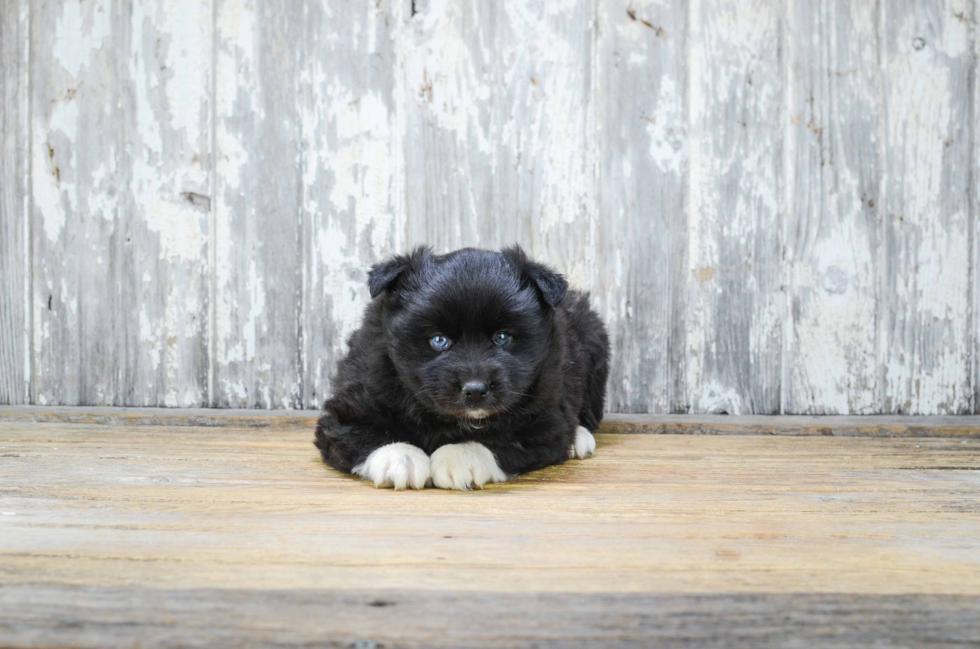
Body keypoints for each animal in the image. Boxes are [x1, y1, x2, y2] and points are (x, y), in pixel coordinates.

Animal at [314, 246, 608, 488]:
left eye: (502, 337)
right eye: (439, 340)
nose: (475, 389)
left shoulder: (545, 419)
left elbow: (501, 438)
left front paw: (459, 458)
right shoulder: (348, 408)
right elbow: (366, 433)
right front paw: (401, 458)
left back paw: (580, 438)